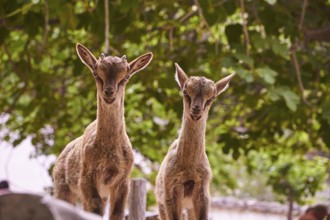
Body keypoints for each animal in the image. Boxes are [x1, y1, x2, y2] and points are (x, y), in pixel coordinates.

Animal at [53, 43, 153, 219]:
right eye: (96, 73)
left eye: (126, 77)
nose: (109, 92)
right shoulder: (87, 177)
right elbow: (95, 207)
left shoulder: (123, 179)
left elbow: (117, 212)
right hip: (62, 186)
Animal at [155, 62, 235, 219]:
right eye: (185, 92)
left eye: (212, 97)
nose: (196, 109)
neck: (189, 168)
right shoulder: (170, 191)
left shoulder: (203, 190)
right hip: (160, 204)